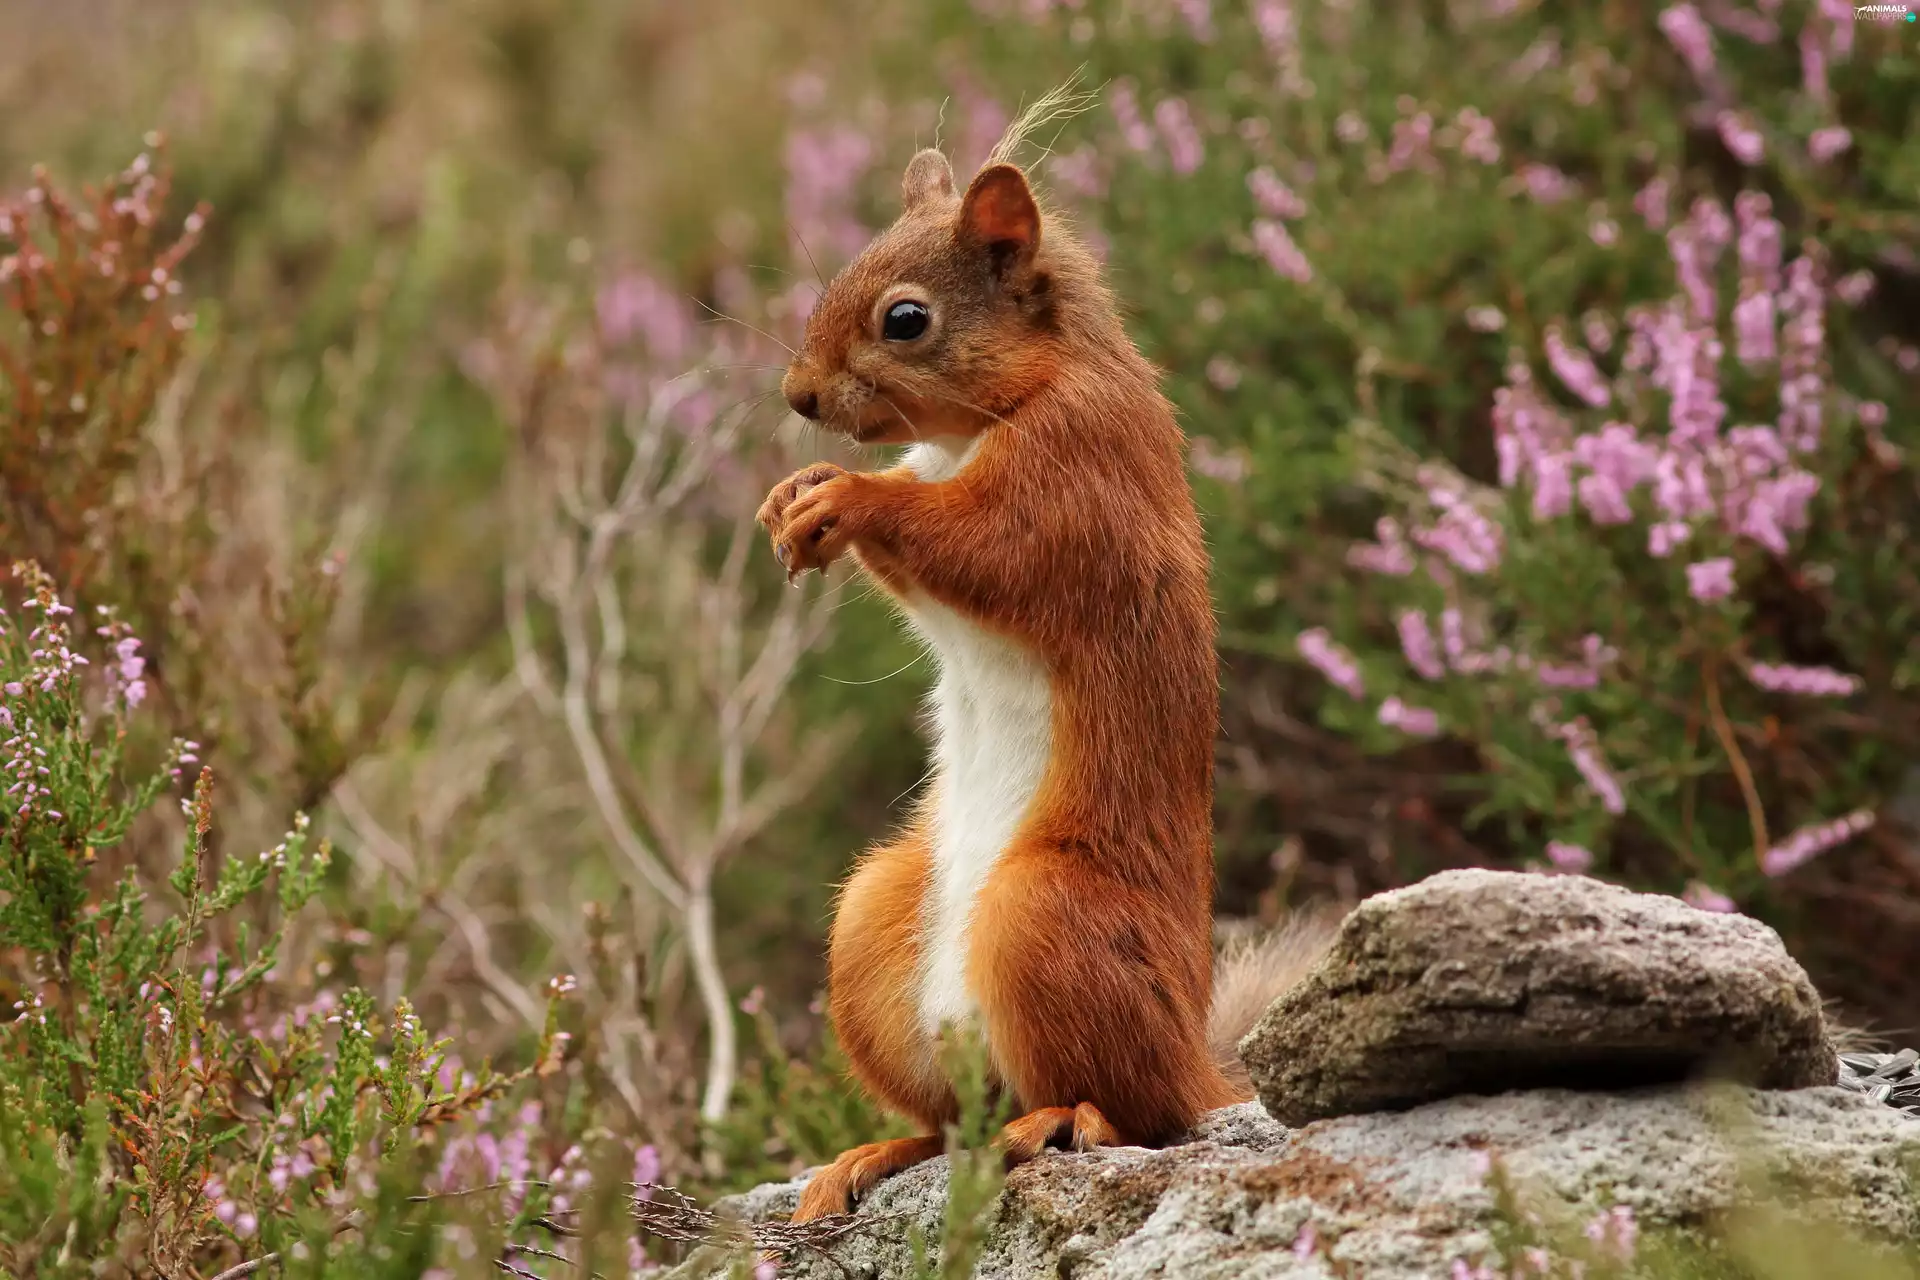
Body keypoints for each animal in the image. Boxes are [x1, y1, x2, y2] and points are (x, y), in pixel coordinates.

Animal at [756, 119, 1333, 1223]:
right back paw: (878, 1152)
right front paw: (794, 490)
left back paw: (1066, 1122)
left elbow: (980, 545)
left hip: (1042, 912)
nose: (798, 395)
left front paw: (845, 495)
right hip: (871, 922)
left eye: (906, 319)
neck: (984, 420)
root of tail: (1196, 1061)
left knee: (1134, 1108)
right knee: (957, 1116)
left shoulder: (1075, 483)